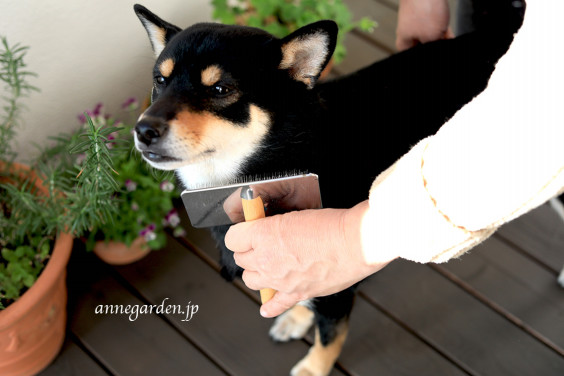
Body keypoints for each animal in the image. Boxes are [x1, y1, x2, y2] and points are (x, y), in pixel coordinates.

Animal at [131, 3, 524, 376]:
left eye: (220, 89)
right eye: (159, 81)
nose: (143, 130)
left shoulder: (333, 274)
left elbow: (330, 336)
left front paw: (313, 368)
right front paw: (297, 316)